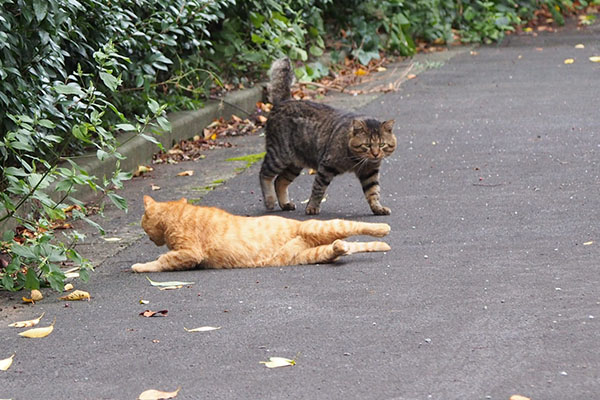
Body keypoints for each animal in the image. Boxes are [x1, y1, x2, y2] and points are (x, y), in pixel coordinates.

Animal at [131, 195, 392, 272]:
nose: (150, 239)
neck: (177, 214)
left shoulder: (189, 252)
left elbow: (163, 260)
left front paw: (141, 266)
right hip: (304, 256)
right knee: (333, 250)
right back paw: (340, 247)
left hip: (320, 227)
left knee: (353, 225)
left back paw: (383, 228)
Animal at [258, 57, 396, 216]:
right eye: (367, 145)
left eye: (381, 145)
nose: (375, 154)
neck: (357, 160)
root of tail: (284, 101)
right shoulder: (326, 167)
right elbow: (318, 189)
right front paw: (312, 207)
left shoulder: (370, 173)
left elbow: (373, 192)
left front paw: (377, 208)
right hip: (279, 155)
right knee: (264, 174)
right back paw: (269, 201)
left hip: (295, 163)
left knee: (280, 181)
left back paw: (285, 204)